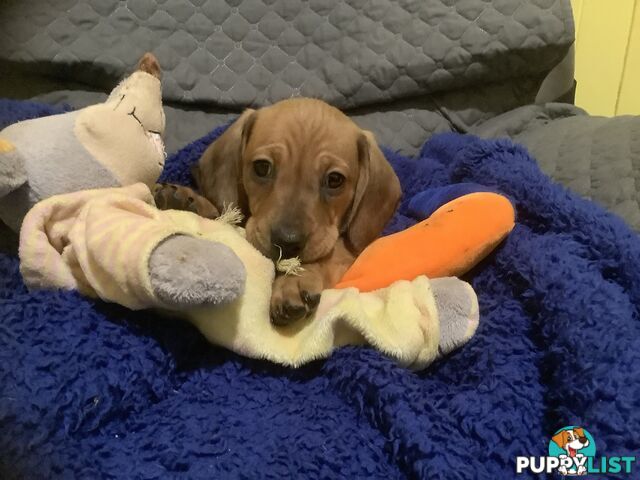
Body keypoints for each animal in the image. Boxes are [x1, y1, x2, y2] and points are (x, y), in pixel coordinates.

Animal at [156, 97, 400, 324]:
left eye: (335, 180)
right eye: (262, 167)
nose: (287, 243)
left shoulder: (350, 253)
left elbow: (329, 253)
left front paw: (294, 280)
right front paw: (188, 201)